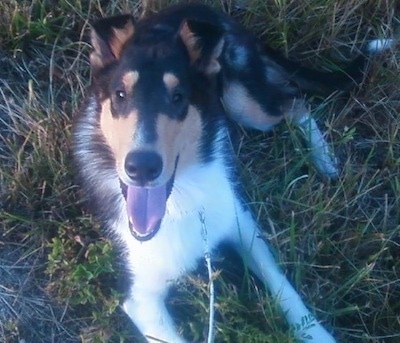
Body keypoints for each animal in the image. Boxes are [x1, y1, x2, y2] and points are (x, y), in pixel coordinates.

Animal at [72, 3, 394, 343]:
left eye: (179, 97)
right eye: (120, 95)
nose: (142, 167)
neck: (180, 198)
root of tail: (200, 8)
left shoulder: (239, 220)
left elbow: (282, 284)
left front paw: (315, 333)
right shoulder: (143, 299)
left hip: (243, 104)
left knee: (293, 103)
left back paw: (324, 158)